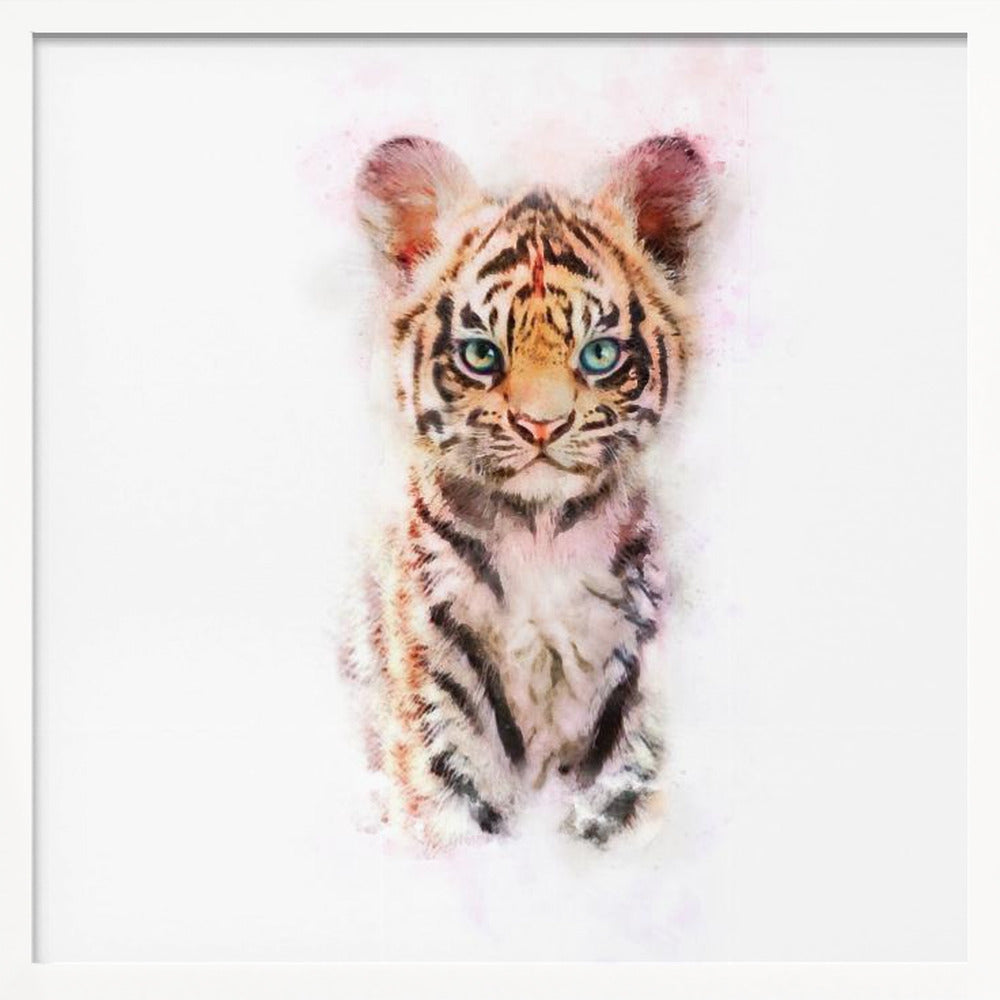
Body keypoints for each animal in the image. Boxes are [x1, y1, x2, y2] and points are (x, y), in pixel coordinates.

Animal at [342, 133, 711, 849]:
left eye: (599, 355)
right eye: (482, 355)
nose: (542, 424)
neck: (541, 538)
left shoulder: (637, 687)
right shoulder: (440, 692)